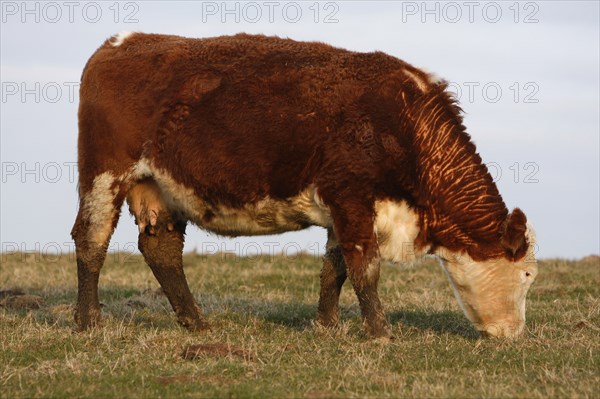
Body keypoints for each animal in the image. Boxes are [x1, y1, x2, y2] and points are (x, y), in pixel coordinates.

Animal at [71, 31, 540, 340]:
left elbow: (335, 269)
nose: (515, 333)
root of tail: (121, 43)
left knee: (162, 250)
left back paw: (197, 323)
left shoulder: (341, 207)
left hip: (161, 189)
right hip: (104, 174)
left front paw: (327, 326)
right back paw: (89, 322)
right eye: (528, 273)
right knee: (91, 239)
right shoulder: (351, 195)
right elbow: (365, 268)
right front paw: (380, 333)